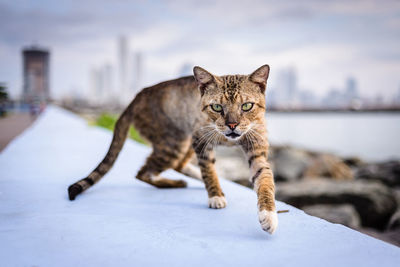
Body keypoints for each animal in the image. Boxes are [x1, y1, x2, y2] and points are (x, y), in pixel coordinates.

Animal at [68, 65, 278, 234]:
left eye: (247, 106)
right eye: (217, 107)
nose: (232, 125)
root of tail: (137, 96)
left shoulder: (256, 148)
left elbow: (265, 179)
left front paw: (269, 215)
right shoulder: (200, 139)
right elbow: (208, 170)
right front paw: (215, 195)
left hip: (183, 141)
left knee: (176, 165)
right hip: (174, 143)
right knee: (143, 173)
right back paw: (177, 183)